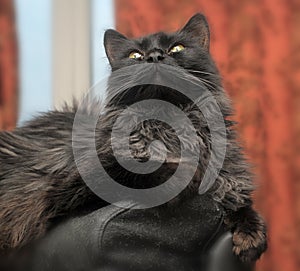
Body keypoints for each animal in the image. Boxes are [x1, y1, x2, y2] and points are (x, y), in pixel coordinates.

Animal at [0, 13, 268, 264]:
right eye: (135, 55)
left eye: (177, 48)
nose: (155, 56)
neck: (169, 124)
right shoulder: (67, 187)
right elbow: (150, 171)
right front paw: (184, 173)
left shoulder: (229, 179)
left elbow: (241, 202)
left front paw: (250, 237)